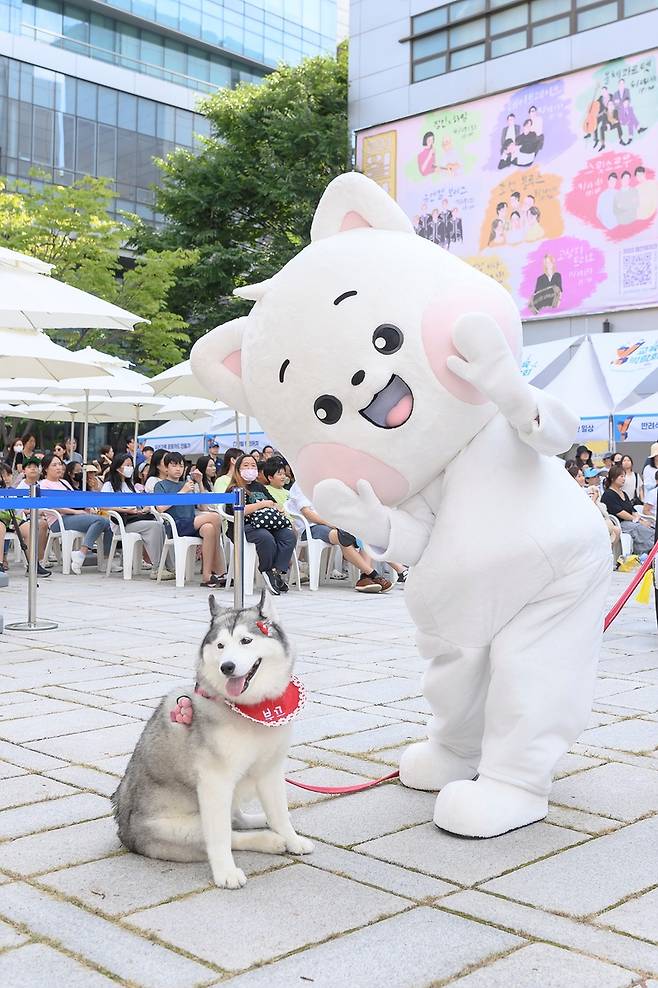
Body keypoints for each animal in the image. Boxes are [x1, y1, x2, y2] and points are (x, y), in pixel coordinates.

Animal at [113, 592, 312, 892]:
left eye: (246, 640)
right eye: (220, 645)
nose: (226, 666)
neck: (250, 710)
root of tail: (125, 836)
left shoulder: (270, 770)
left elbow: (279, 811)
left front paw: (292, 838)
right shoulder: (214, 782)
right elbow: (219, 838)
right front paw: (225, 873)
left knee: (236, 819)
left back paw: (262, 823)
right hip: (178, 827)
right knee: (226, 835)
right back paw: (267, 840)